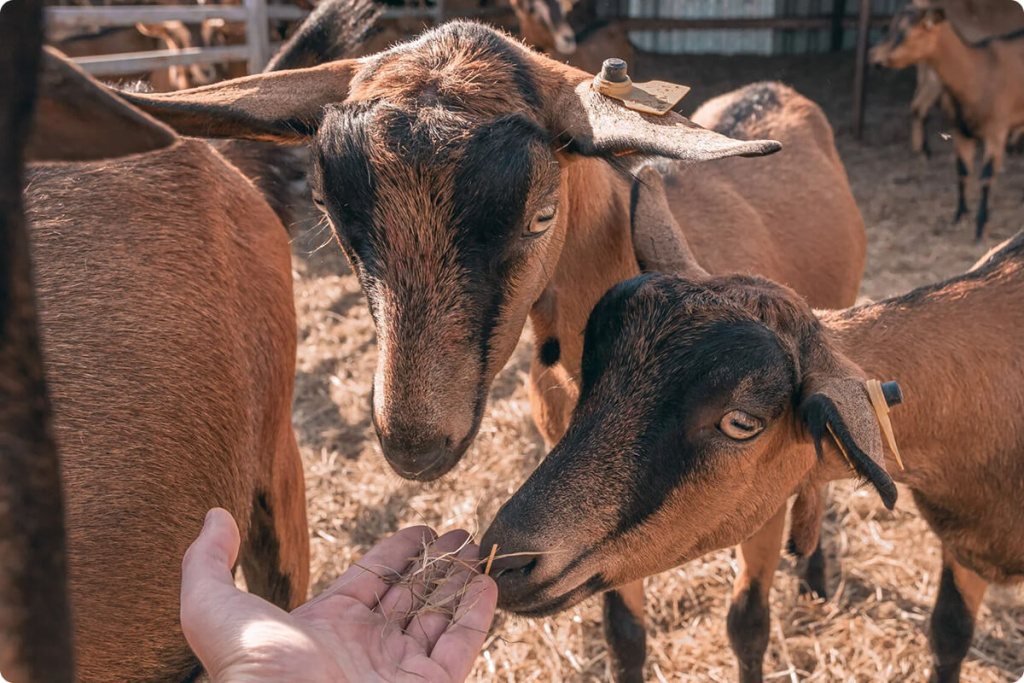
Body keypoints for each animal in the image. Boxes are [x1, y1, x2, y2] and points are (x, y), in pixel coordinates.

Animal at [117, 27, 865, 681]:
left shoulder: (757, 487)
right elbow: (623, 632)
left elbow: (748, 622)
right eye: (327, 208)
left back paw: (815, 571)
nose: (415, 443)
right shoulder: (591, 515)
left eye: (541, 213)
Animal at [870, 4, 1024, 240]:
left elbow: (987, 177)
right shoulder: (960, 130)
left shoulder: (996, 132)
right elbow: (962, 171)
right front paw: (960, 216)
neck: (979, 72)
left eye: (907, 30)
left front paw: (981, 226)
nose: (874, 55)